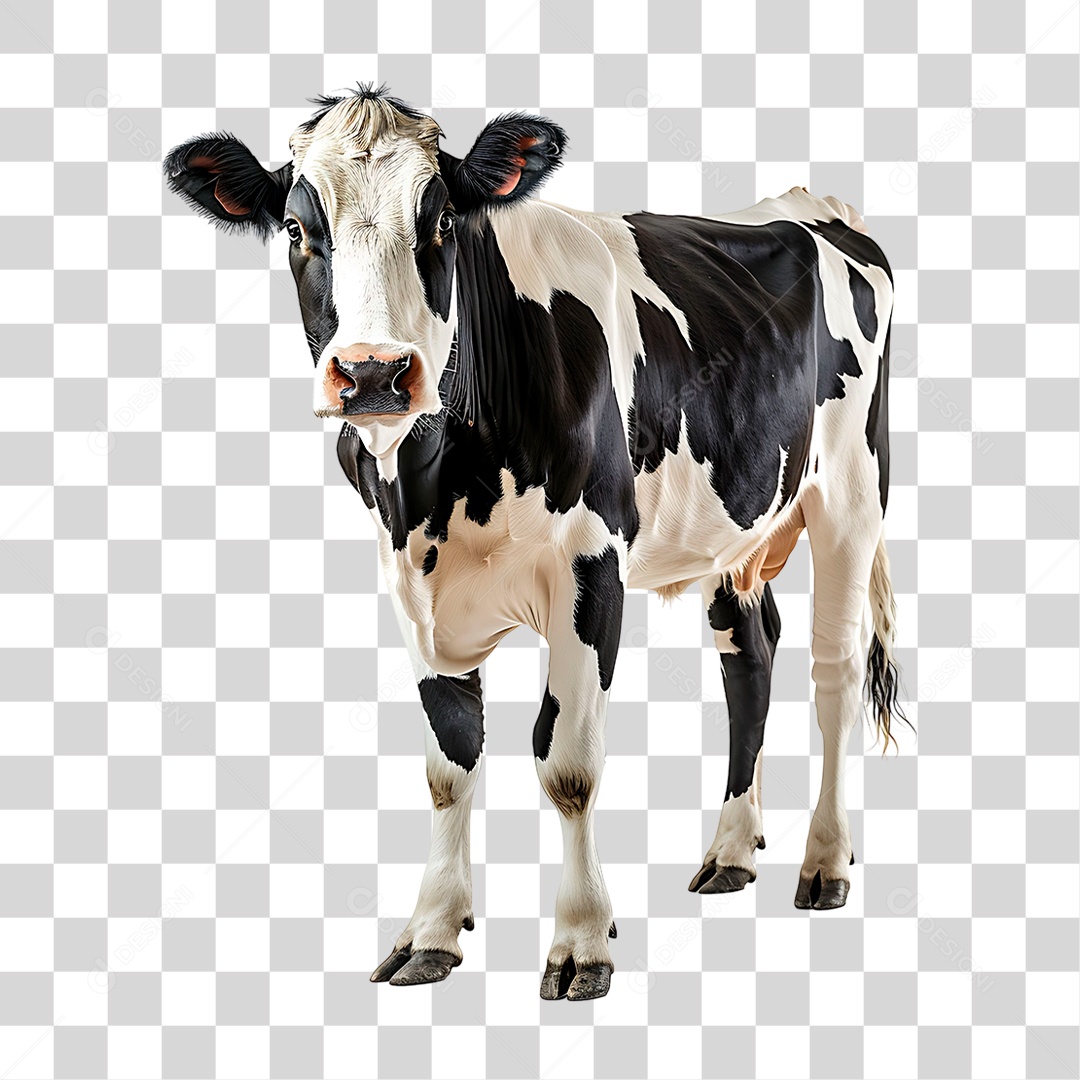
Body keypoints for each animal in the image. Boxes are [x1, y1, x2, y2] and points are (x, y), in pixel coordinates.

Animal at [164, 84, 905, 1001]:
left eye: (443, 223)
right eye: (301, 230)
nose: (372, 373)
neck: (439, 481)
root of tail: (812, 206)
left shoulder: (593, 568)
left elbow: (568, 763)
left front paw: (583, 941)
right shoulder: (410, 584)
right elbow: (449, 763)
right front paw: (432, 933)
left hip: (850, 491)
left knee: (834, 671)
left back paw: (825, 863)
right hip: (736, 523)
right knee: (751, 659)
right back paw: (732, 850)